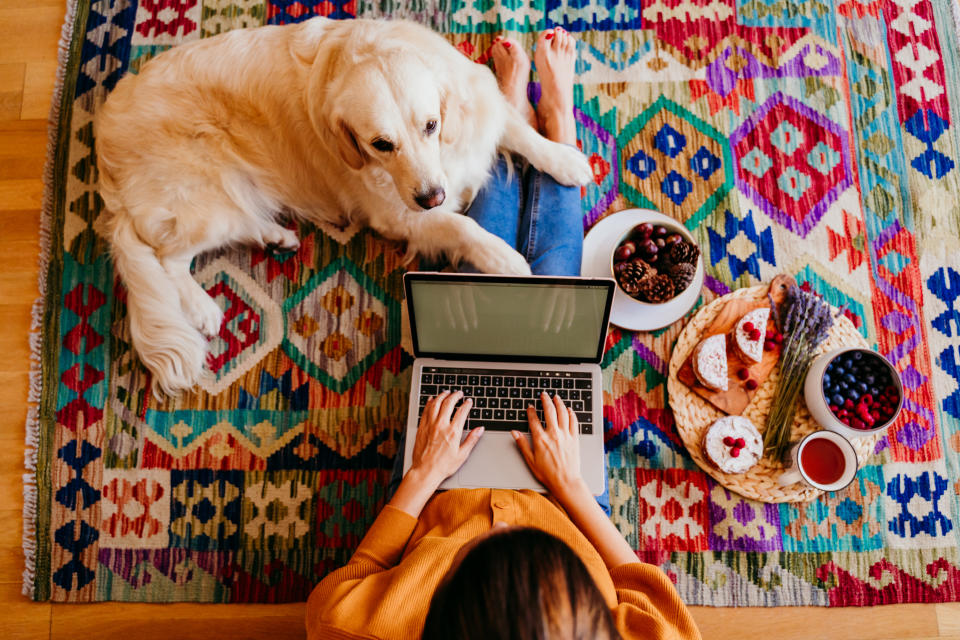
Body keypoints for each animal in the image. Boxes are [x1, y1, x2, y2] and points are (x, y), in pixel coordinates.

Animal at [97, 17, 592, 396]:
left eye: (432, 125)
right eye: (380, 144)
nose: (433, 197)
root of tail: (105, 136)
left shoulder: (479, 105)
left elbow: (523, 133)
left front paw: (566, 161)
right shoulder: (399, 214)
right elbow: (463, 228)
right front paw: (505, 259)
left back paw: (276, 236)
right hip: (206, 201)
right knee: (167, 257)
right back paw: (203, 309)